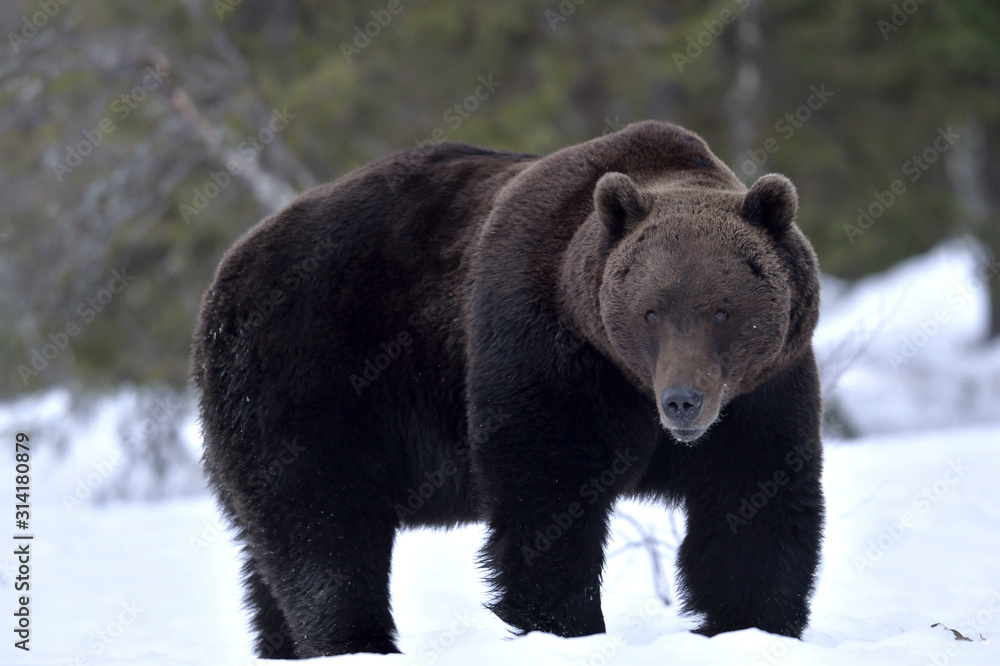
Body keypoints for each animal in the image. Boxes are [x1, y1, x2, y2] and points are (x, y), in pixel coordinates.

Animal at [191, 120, 824, 659]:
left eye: (722, 311)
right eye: (652, 312)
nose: (683, 401)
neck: (626, 379)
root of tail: (230, 264)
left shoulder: (761, 392)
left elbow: (754, 508)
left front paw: (750, 630)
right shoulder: (542, 349)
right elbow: (546, 499)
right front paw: (567, 628)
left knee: (271, 561)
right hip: (306, 372)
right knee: (322, 528)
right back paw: (356, 641)